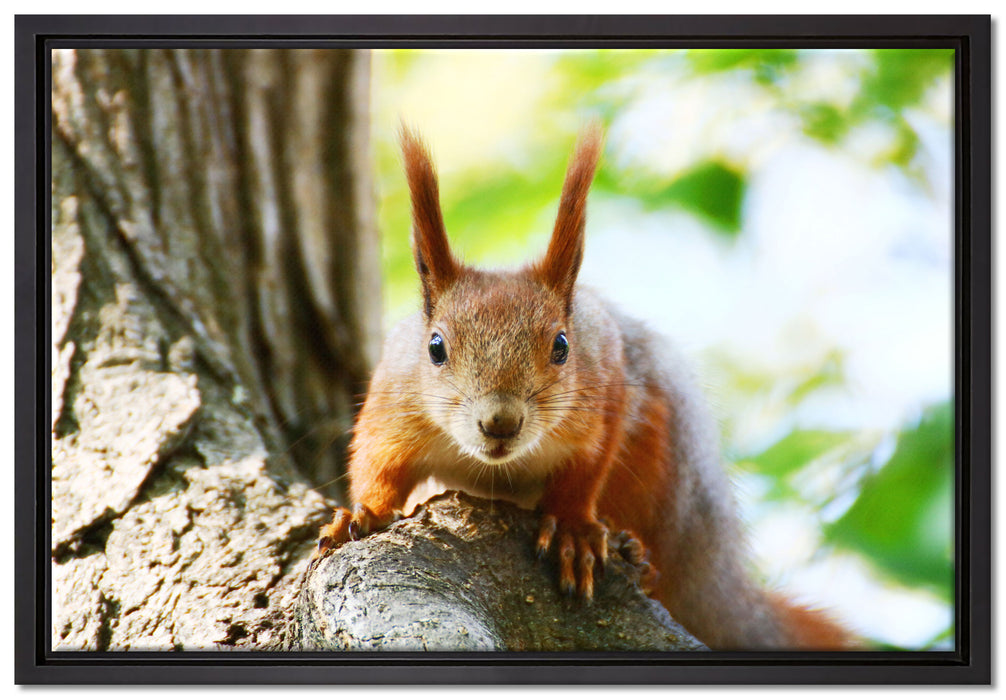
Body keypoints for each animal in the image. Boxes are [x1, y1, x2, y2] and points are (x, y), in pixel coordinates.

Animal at [315, 125, 852, 650]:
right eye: (435, 347)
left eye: (561, 345)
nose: (500, 422)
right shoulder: (393, 403)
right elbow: (378, 464)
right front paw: (363, 513)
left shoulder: (604, 392)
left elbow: (586, 469)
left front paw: (574, 530)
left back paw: (636, 554)